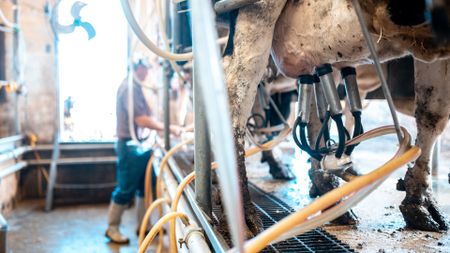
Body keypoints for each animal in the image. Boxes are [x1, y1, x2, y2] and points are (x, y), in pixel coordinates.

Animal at [224, 0, 450, 235]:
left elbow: (433, 114)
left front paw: (419, 202)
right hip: (255, 14)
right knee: (237, 94)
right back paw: (242, 214)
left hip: (319, 55)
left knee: (316, 110)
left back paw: (328, 190)